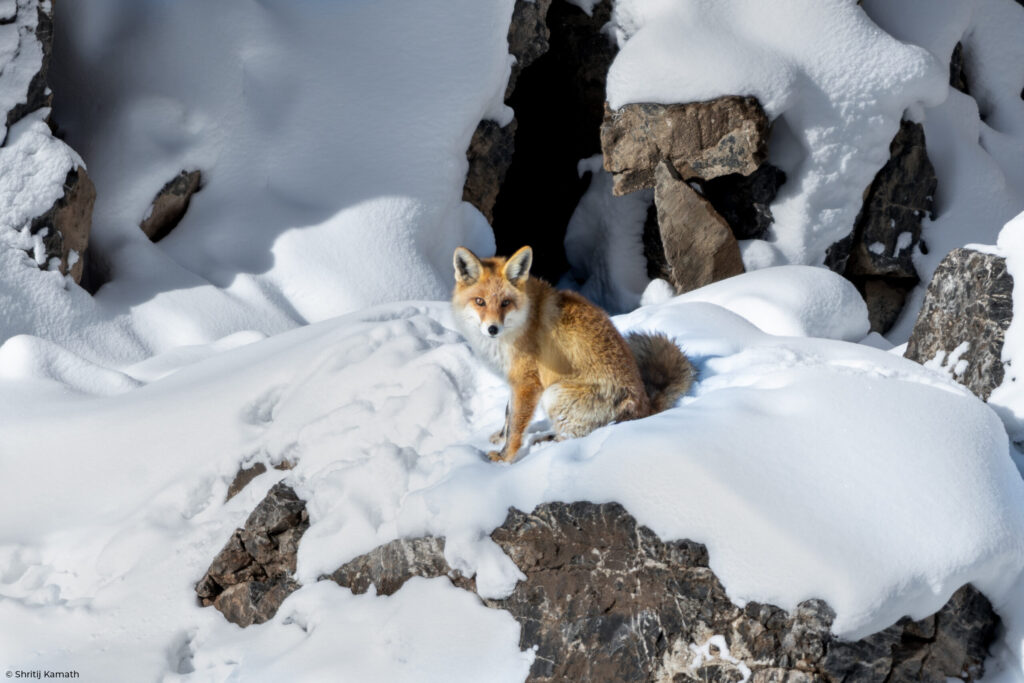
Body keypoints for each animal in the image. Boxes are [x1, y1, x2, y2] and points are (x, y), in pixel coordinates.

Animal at [452, 245, 695, 462]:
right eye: (480, 302)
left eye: (505, 303)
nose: (492, 329)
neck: (523, 321)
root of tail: (646, 407)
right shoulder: (515, 381)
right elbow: (507, 415)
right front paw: (500, 438)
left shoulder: (527, 383)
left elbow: (516, 426)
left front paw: (505, 458)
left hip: (554, 394)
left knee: (575, 437)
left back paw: (544, 444)